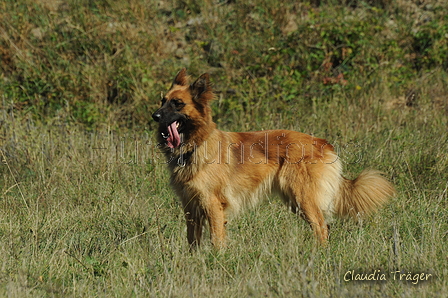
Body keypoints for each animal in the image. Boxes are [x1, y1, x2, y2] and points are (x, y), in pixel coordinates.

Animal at [151, 68, 396, 248]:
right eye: (162, 101)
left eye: (178, 104)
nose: (154, 116)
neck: (196, 145)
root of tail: (323, 143)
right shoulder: (190, 206)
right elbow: (192, 240)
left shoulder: (213, 205)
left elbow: (216, 240)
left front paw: (216, 261)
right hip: (296, 201)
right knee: (324, 226)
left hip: (302, 197)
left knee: (321, 226)